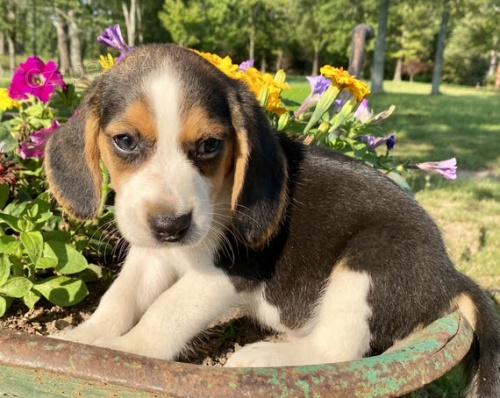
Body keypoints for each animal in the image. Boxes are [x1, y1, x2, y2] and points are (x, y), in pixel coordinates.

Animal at [45, 44, 498, 398]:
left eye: (210, 145)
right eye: (124, 141)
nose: (171, 227)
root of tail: (451, 275)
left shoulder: (229, 272)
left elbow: (165, 311)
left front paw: (128, 350)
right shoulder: (152, 255)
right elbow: (119, 298)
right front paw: (83, 340)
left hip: (371, 262)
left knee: (337, 349)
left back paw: (265, 357)